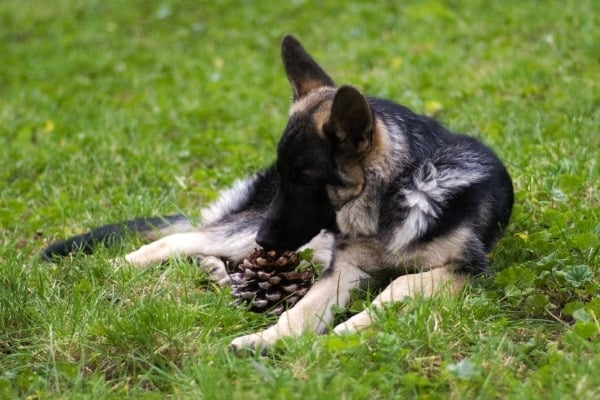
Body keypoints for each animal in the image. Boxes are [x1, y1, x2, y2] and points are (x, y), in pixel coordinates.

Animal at [42, 36, 512, 352]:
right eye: (288, 178)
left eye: (304, 179)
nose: (265, 241)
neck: (391, 200)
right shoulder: (343, 268)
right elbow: (303, 308)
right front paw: (270, 338)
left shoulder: (463, 270)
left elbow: (400, 286)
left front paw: (347, 330)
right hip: (265, 231)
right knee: (180, 239)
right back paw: (107, 268)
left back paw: (216, 273)